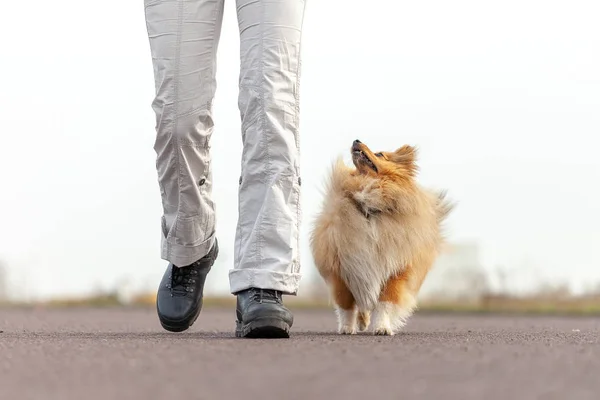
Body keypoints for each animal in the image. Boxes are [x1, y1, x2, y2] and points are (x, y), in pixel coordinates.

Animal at [310, 141, 454, 334]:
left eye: (380, 154)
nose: (356, 140)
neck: (370, 208)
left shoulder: (395, 269)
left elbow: (385, 303)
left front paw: (382, 328)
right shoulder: (343, 269)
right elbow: (346, 305)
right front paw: (347, 328)